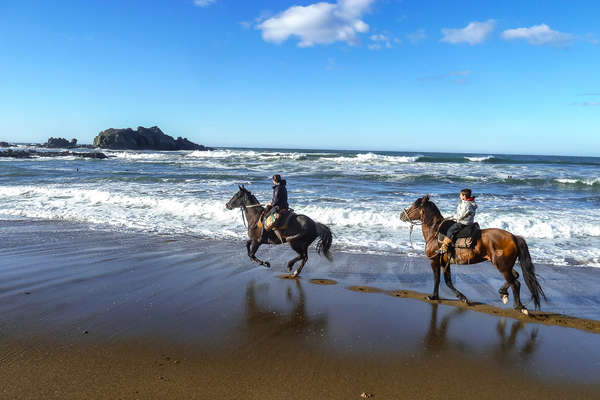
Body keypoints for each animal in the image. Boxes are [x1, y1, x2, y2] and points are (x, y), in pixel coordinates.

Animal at [400, 195, 548, 314]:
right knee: (515, 278)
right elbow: (448, 281)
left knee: (515, 283)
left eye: (415, 205)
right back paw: (504, 294)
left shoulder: (435, 261)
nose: (402, 215)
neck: (435, 232)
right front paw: (462, 298)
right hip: (505, 265)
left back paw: (519, 306)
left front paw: (433, 296)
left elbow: (437, 279)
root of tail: (513, 237)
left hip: (502, 266)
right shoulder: (445, 262)